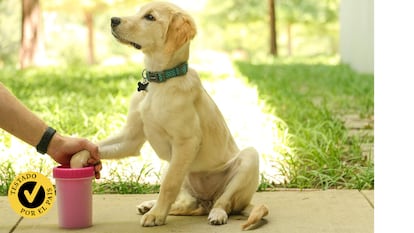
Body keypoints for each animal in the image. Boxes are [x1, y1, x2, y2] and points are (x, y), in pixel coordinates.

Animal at [71, 0, 268, 229]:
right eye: (138, 11)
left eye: (150, 17)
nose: (113, 20)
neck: (159, 81)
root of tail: (207, 201)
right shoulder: (131, 138)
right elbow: (95, 146)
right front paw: (78, 160)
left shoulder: (186, 142)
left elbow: (169, 185)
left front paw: (156, 216)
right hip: (175, 168)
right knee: (187, 204)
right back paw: (150, 204)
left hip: (248, 159)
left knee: (224, 201)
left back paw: (216, 213)